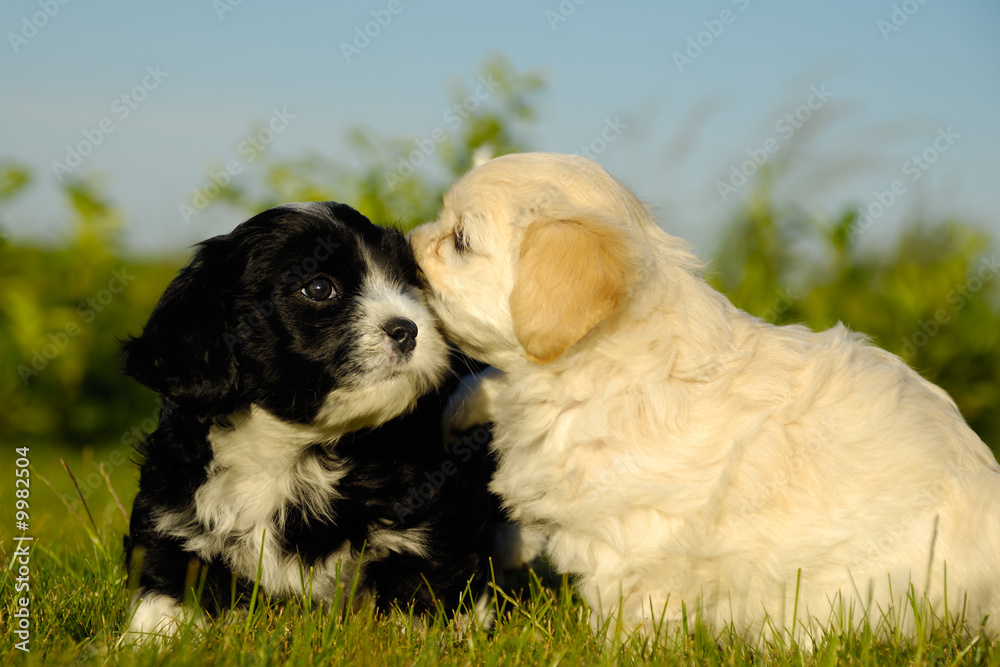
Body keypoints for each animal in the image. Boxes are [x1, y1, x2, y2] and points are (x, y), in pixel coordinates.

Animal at [123, 202, 500, 640]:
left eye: (408, 284)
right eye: (319, 289)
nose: (408, 330)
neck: (291, 450)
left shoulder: (435, 512)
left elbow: (425, 589)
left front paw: (418, 642)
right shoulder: (173, 511)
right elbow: (165, 585)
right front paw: (147, 641)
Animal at [408, 151, 1000, 640]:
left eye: (460, 241)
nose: (405, 243)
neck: (597, 363)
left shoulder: (633, 539)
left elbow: (625, 610)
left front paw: (609, 648)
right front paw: (458, 415)